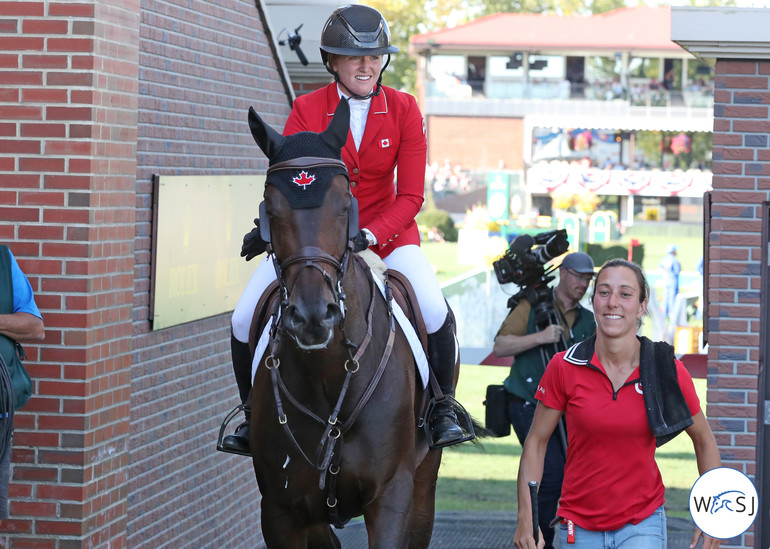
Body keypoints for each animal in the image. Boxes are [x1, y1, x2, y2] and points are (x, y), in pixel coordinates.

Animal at [246, 99, 450, 548]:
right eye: (270, 210)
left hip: (425, 482)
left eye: (344, 205)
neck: (327, 376)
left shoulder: (391, 499)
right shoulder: (280, 511)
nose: (312, 315)